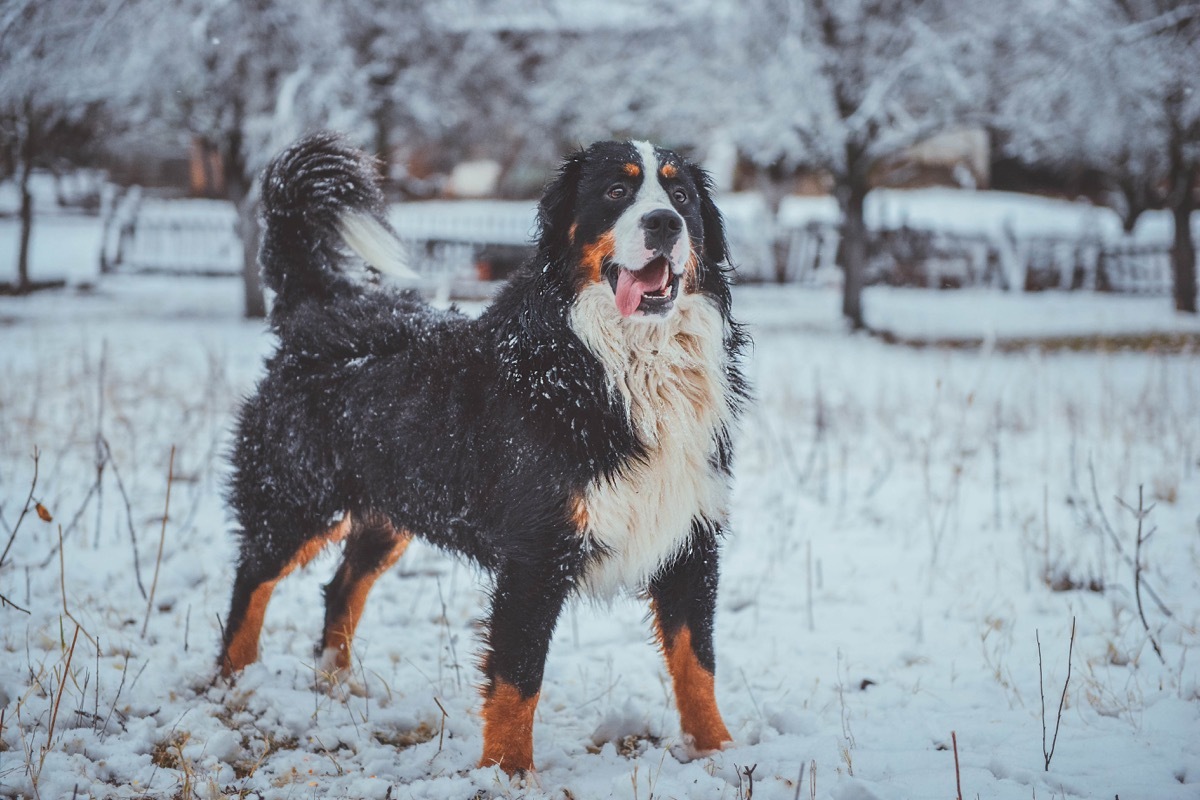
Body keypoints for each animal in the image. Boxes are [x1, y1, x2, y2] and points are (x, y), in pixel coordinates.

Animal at [219, 133, 744, 777]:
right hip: (297, 501)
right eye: (618, 190)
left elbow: (698, 663)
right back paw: (233, 685)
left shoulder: (690, 538)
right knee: (251, 583)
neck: (622, 363)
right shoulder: (536, 553)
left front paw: (718, 753)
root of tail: (320, 309)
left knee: (340, 589)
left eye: (681, 196)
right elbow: (518, 678)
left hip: (391, 510)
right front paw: (507, 772)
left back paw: (336, 686)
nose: (665, 222)